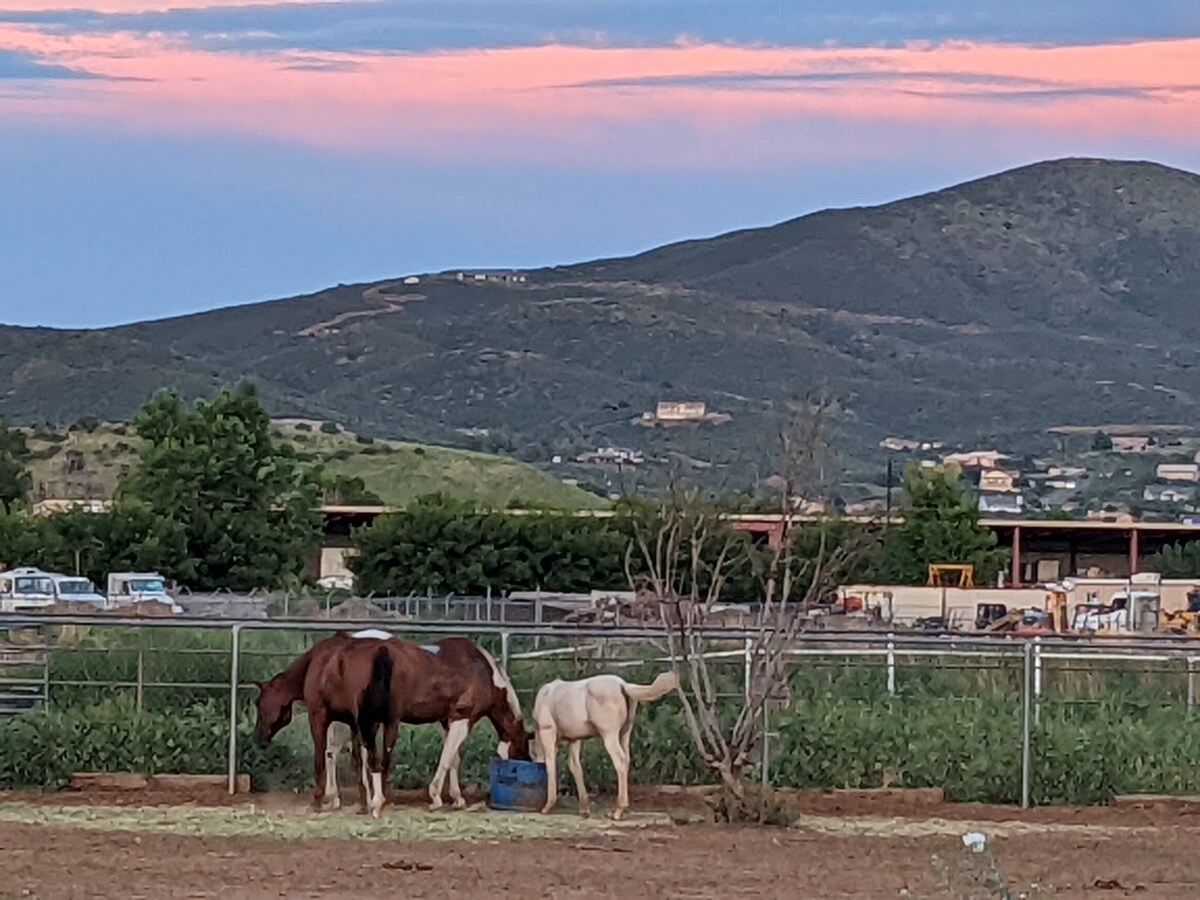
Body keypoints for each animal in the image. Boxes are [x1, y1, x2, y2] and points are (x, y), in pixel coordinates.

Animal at [532, 672, 676, 820]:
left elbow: (550, 764)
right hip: (624, 734)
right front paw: (584, 809)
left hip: (609, 736)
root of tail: (622, 684)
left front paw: (547, 806)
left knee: (620, 761)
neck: (545, 696)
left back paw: (618, 810)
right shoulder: (575, 739)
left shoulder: (547, 733)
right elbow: (575, 767)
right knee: (626, 760)